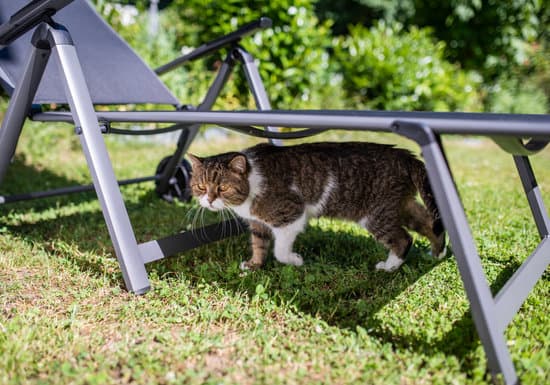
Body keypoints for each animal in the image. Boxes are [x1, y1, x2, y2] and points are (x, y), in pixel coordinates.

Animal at [190, 141, 448, 270]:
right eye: (201, 187)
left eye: (223, 188)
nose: (209, 200)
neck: (252, 183)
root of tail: (405, 156)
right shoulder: (258, 223)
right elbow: (259, 245)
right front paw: (255, 265)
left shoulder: (291, 216)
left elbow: (280, 251)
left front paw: (295, 260)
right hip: (400, 206)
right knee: (429, 223)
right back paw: (437, 253)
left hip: (377, 215)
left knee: (404, 239)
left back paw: (389, 267)